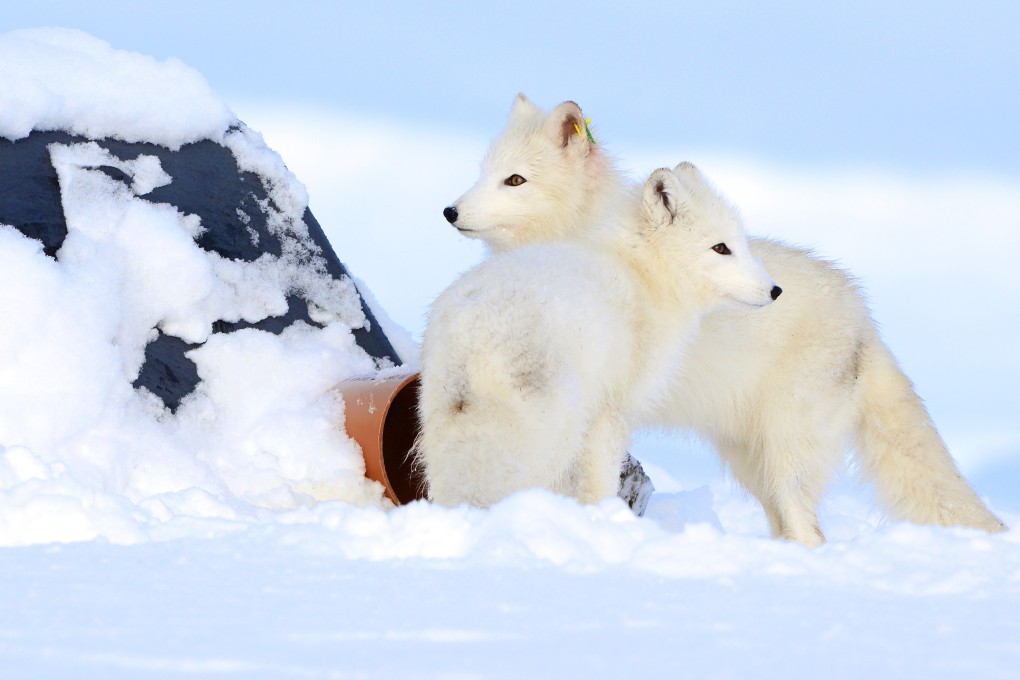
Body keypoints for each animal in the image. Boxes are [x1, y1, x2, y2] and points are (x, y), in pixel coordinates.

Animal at [418, 163, 775, 505]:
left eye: (740, 245)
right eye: (721, 248)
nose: (776, 290)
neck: (644, 273)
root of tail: (473, 329)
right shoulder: (611, 414)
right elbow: (600, 482)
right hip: (555, 430)